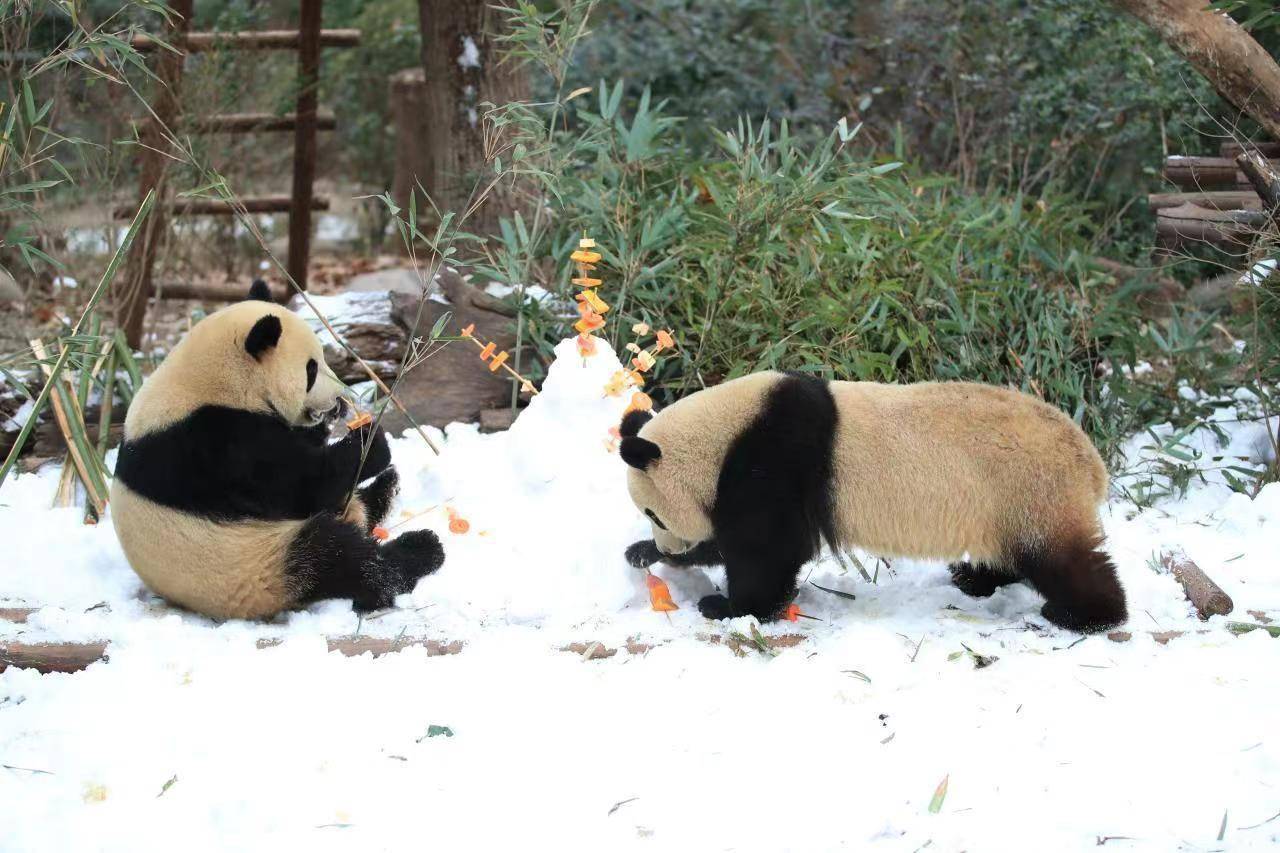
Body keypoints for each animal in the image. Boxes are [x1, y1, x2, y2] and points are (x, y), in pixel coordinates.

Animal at [111, 279, 450, 617]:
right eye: (311, 370)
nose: (339, 398)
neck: (205, 383)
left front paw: (326, 430)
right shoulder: (217, 445)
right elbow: (299, 487)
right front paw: (370, 442)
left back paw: (386, 488)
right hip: (257, 561)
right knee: (339, 557)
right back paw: (420, 548)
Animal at [619, 371, 1131, 630]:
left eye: (653, 512)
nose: (666, 547)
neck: (723, 434)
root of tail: (1091, 462)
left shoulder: (775, 458)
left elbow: (768, 546)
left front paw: (729, 607)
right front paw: (640, 554)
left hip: (1029, 490)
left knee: (1063, 561)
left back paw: (1086, 615)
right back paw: (972, 578)